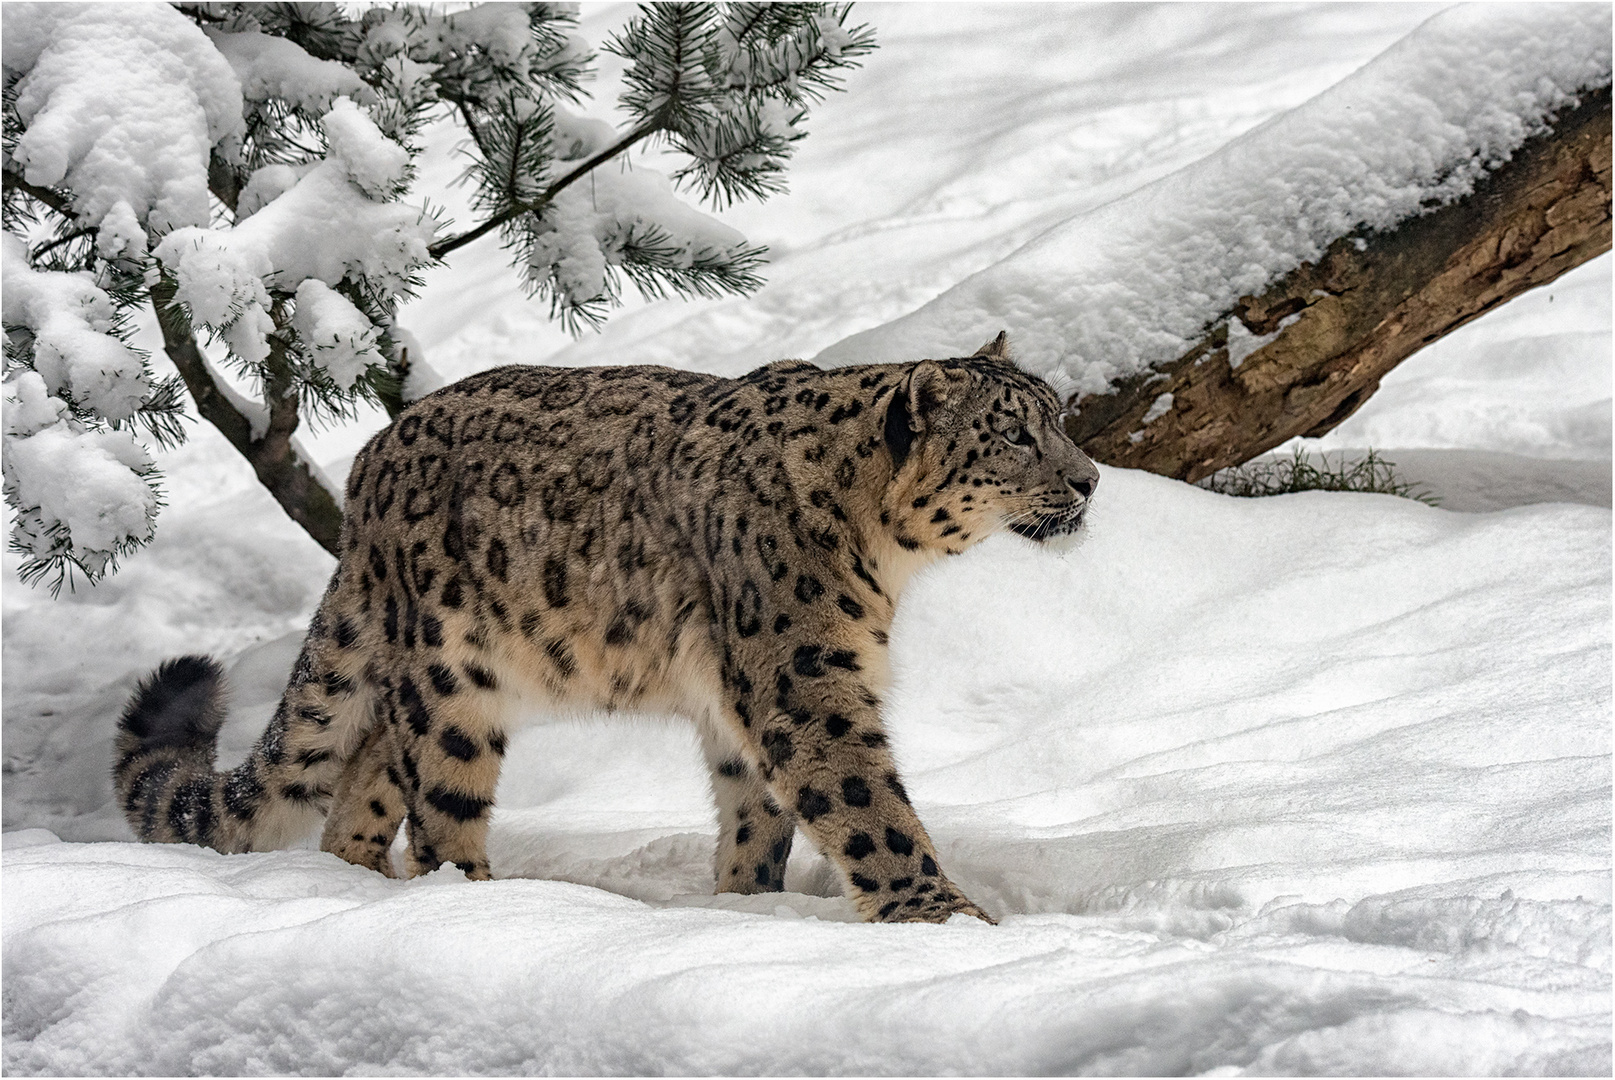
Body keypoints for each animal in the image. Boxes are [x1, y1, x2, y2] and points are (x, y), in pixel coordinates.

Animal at [113, 332, 1098, 923]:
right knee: (438, 811)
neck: (884, 560)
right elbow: (866, 805)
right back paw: (478, 906)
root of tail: (365, 470)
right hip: (450, 682)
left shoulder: (744, 701)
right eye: (1013, 435)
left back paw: (356, 886)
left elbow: (756, 816)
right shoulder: (802, 677)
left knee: (361, 776)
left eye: (1056, 416)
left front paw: (744, 906)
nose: (1089, 478)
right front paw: (943, 917)